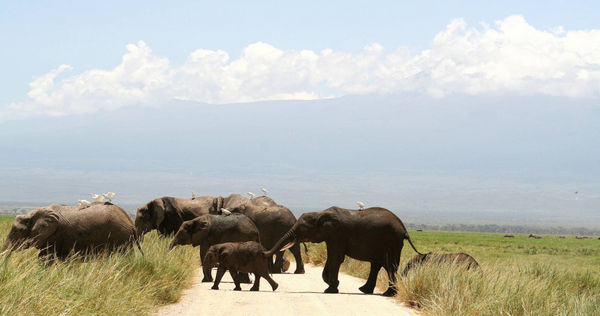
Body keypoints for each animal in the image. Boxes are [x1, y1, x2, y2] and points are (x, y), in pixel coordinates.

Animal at [2, 202, 142, 260]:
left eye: (16, 232)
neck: (32, 213)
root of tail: (130, 222)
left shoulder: (53, 236)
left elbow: (45, 258)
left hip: (122, 237)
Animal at [264, 206, 424, 296]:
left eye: (302, 228)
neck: (320, 213)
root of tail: (404, 229)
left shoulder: (338, 234)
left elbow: (336, 258)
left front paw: (330, 289)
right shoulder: (332, 237)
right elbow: (332, 258)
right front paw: (332, 284)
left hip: (392, 241)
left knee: (390, 266)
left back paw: (387, 294)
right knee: (378, 265)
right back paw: (365, 290)